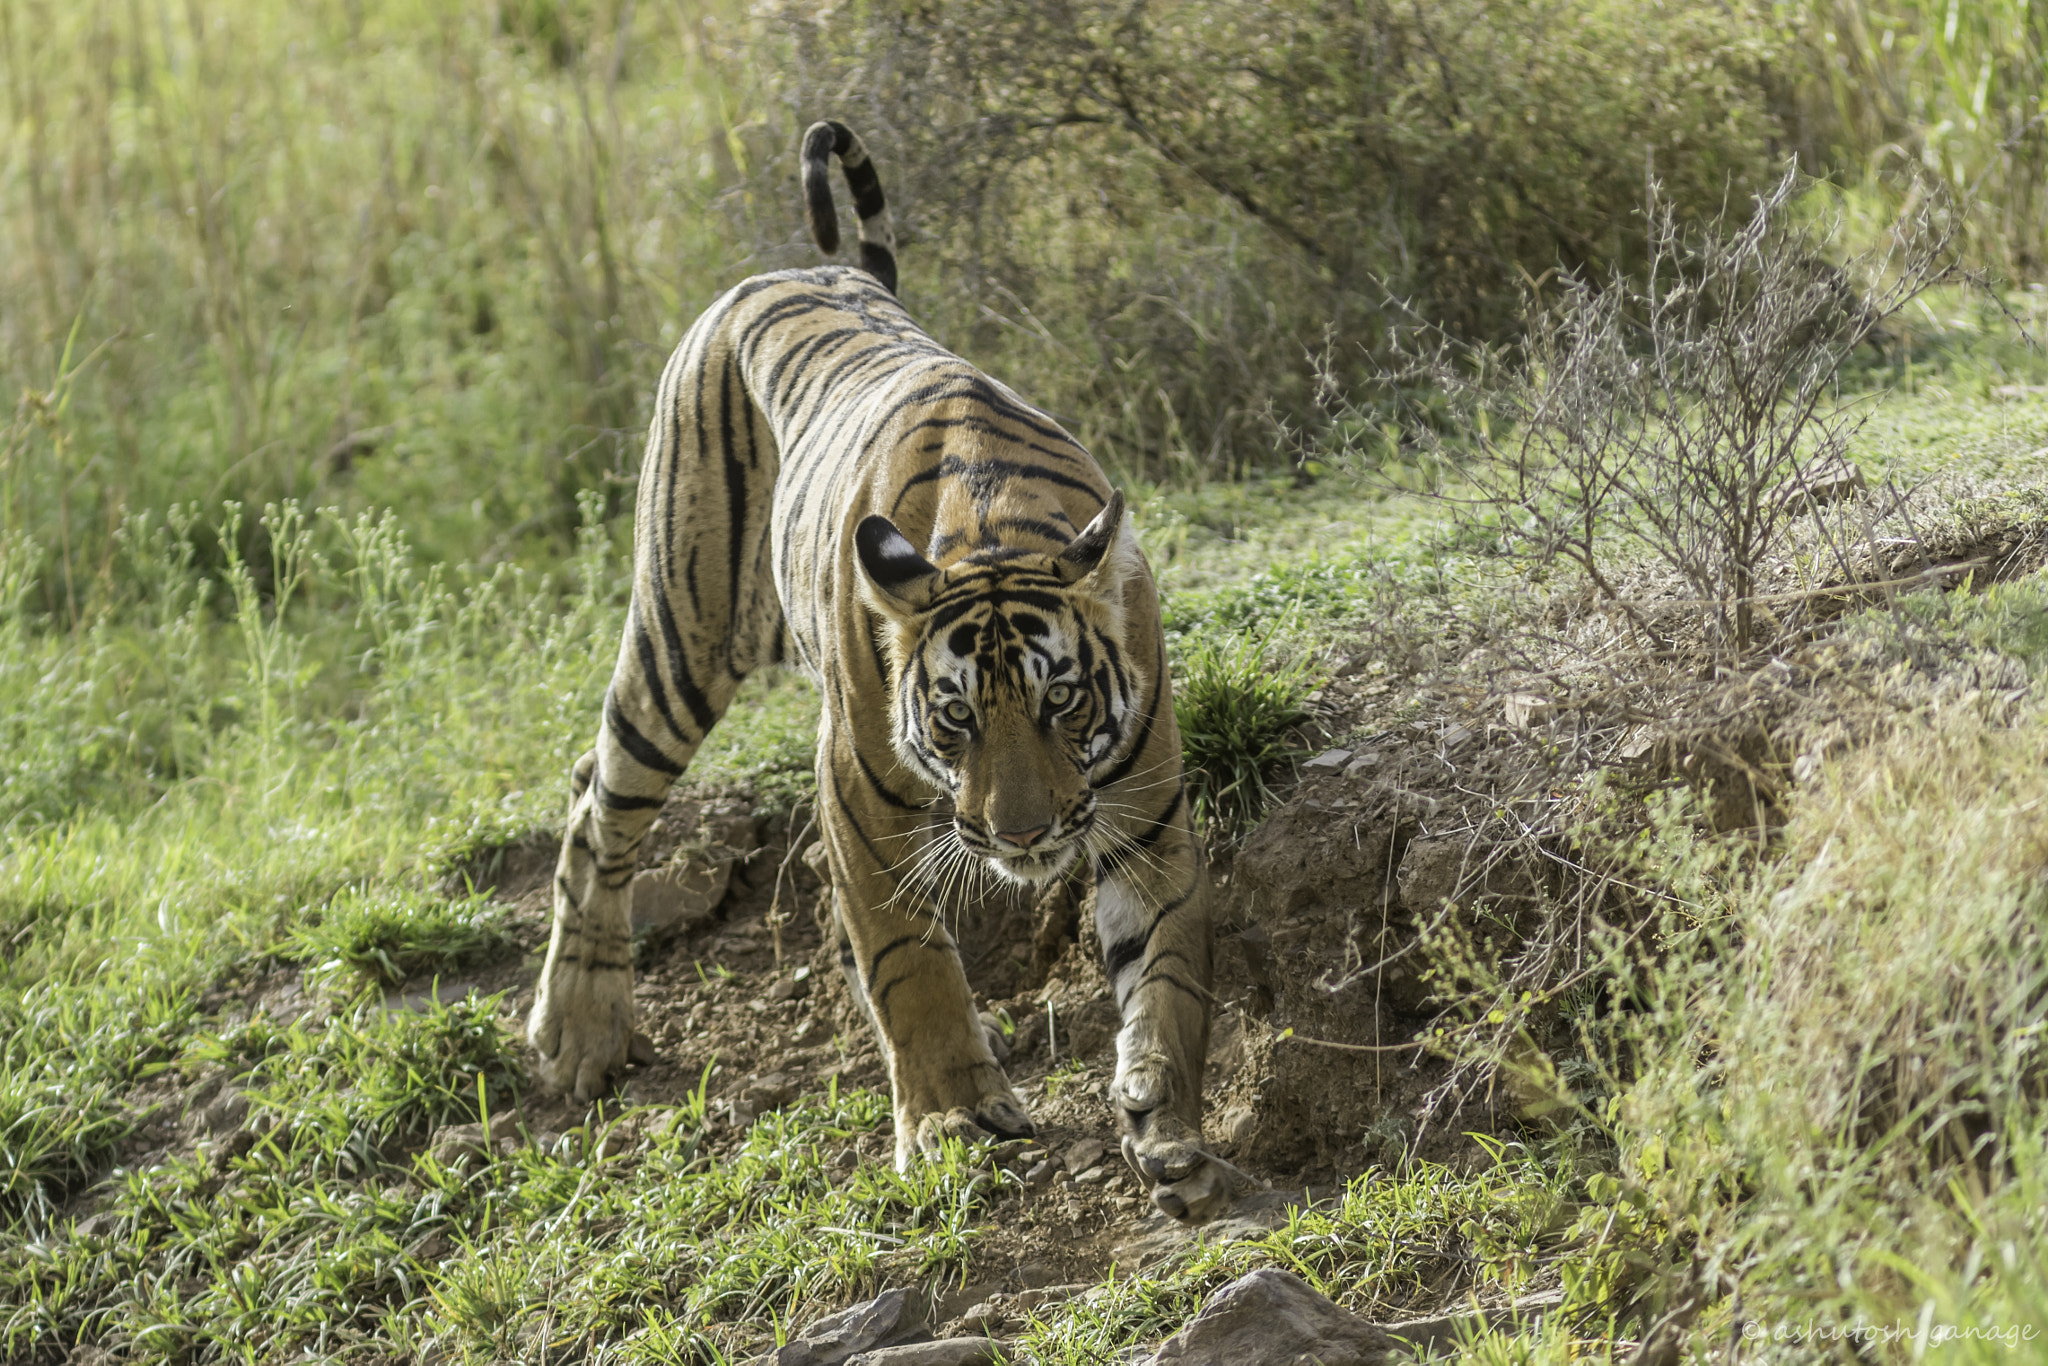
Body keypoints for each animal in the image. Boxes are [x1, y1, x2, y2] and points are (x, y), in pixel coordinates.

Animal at [527, 120, 1244, 1222]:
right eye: (954, 719)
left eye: (1061, 700)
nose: (1021, 835)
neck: (995, 530)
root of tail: (807, 266)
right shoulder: (856, 796)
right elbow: (908, 965)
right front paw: (951, 1119)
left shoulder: (1145, 809)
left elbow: (1169, 970)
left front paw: (1166, 1123)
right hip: (684, 633)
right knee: (603, 800)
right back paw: (577, 1028)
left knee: (585, 779)